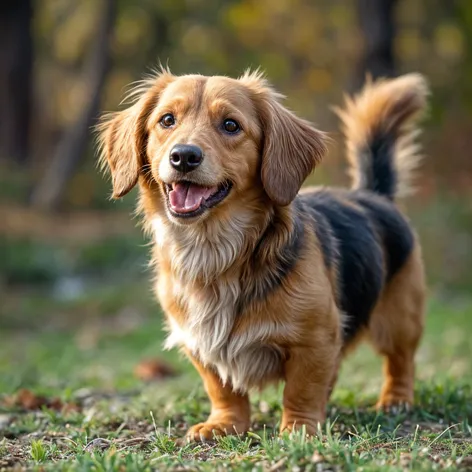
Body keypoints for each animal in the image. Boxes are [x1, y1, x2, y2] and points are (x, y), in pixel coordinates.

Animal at [97, 70, 430, 442]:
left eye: (230, 125)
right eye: (167, 120)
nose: (183, 156)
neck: (214, 250)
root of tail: (373, 195)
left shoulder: (316, 340)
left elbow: (302, 389)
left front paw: (299, 428)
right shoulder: (199, 343)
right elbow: (222, 388)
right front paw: (225, 423)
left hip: (399, 319)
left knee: (400, 361)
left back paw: (395, 400)